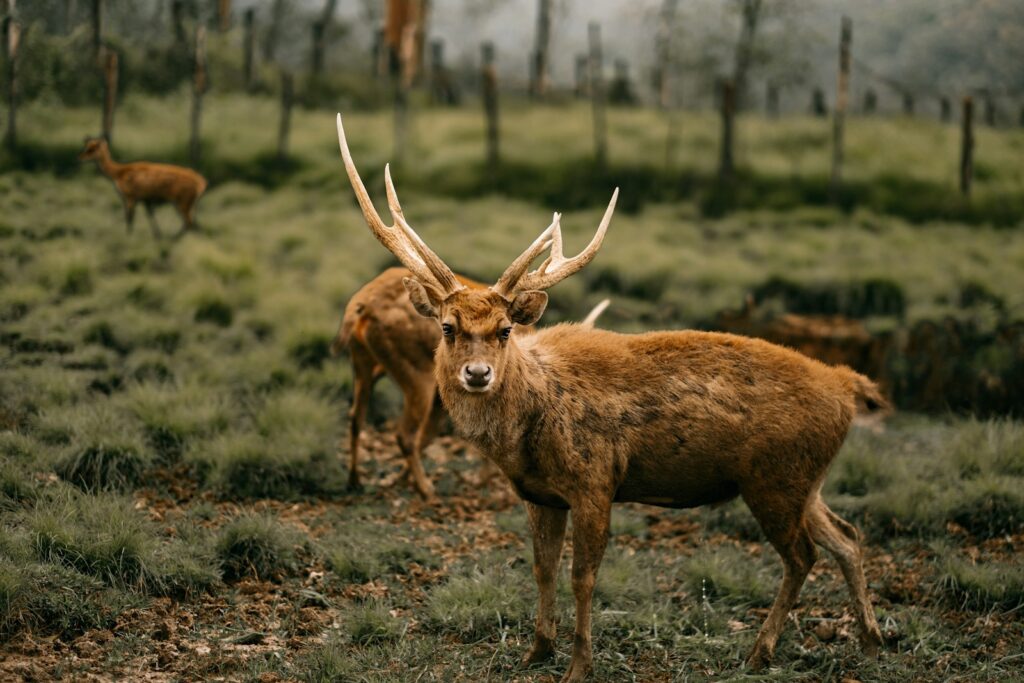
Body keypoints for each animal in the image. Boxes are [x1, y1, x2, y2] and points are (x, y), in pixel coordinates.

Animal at [78, 137, 207, 239]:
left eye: (92, 149)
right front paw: (157, 235)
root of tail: (201, 182)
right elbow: (149, 216)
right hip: (186, 204)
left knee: (189, 222)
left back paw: (173, 238)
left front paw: (129, 235)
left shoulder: (130, 198)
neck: (119, 172)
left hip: (182, 203)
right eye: (87, 146)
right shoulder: (145, 200)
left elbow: (130, 217)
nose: (80, 157)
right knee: (191, 223)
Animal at [332, 266, 609, 499]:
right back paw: (426, 490)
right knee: (404, 433)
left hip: (363, 361)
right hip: (415, 371)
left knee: (356, 417)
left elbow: (431, 434)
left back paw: (355, 480)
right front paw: (481, 481)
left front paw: (398, 479)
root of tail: (360, 305)